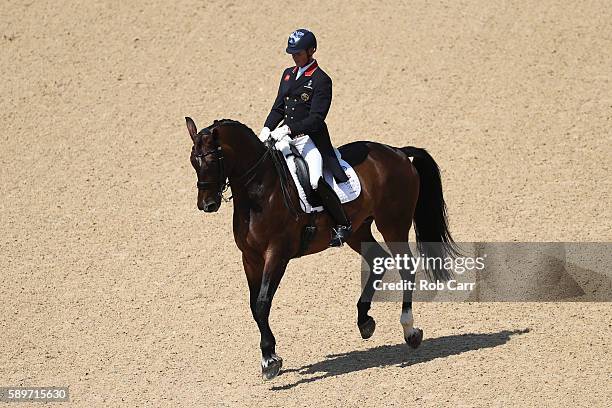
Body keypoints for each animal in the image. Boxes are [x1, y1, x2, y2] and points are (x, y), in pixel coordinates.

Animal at [185, 117, 460, 380]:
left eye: (213, 159)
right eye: (192, 161)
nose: (207, 205)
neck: (259, 192)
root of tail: (398, 152)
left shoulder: (277, 254)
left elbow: (263, 303)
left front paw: (270, 361)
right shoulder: (250, 258)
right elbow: (255, 306)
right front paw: (267, 356)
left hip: (393, 224)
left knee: (406, 268)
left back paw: (410, 331)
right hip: (358, 229)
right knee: (377, 259)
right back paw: (364, 321)